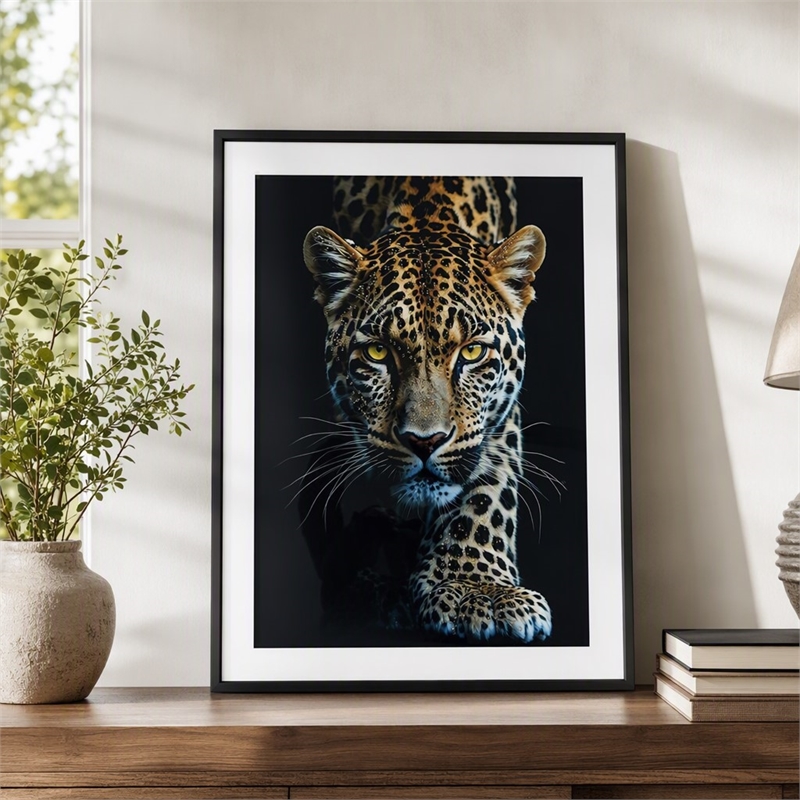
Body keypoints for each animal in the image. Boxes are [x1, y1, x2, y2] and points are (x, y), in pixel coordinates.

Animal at [302, 176, 552, 643]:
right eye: (378, 352)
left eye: (471, 352)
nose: (424, 442)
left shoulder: (496, 416)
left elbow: (486, 489)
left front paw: (477, 586)